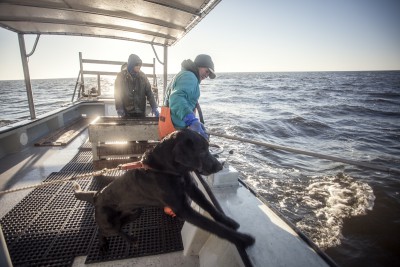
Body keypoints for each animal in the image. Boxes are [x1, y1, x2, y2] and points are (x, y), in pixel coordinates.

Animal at [73, 129, 255, 251]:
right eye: (202, 150)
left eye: (208, 148)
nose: (219, 166)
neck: (169, 171)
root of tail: (96, 195)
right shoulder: (182, 209)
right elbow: (213, 227)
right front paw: (242, 239)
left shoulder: (192, 189)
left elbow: (211, 209)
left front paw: (229, 221)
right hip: (108, 220)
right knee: (106, 230)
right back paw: (122, 241)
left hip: (135, 212)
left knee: (116, 226)